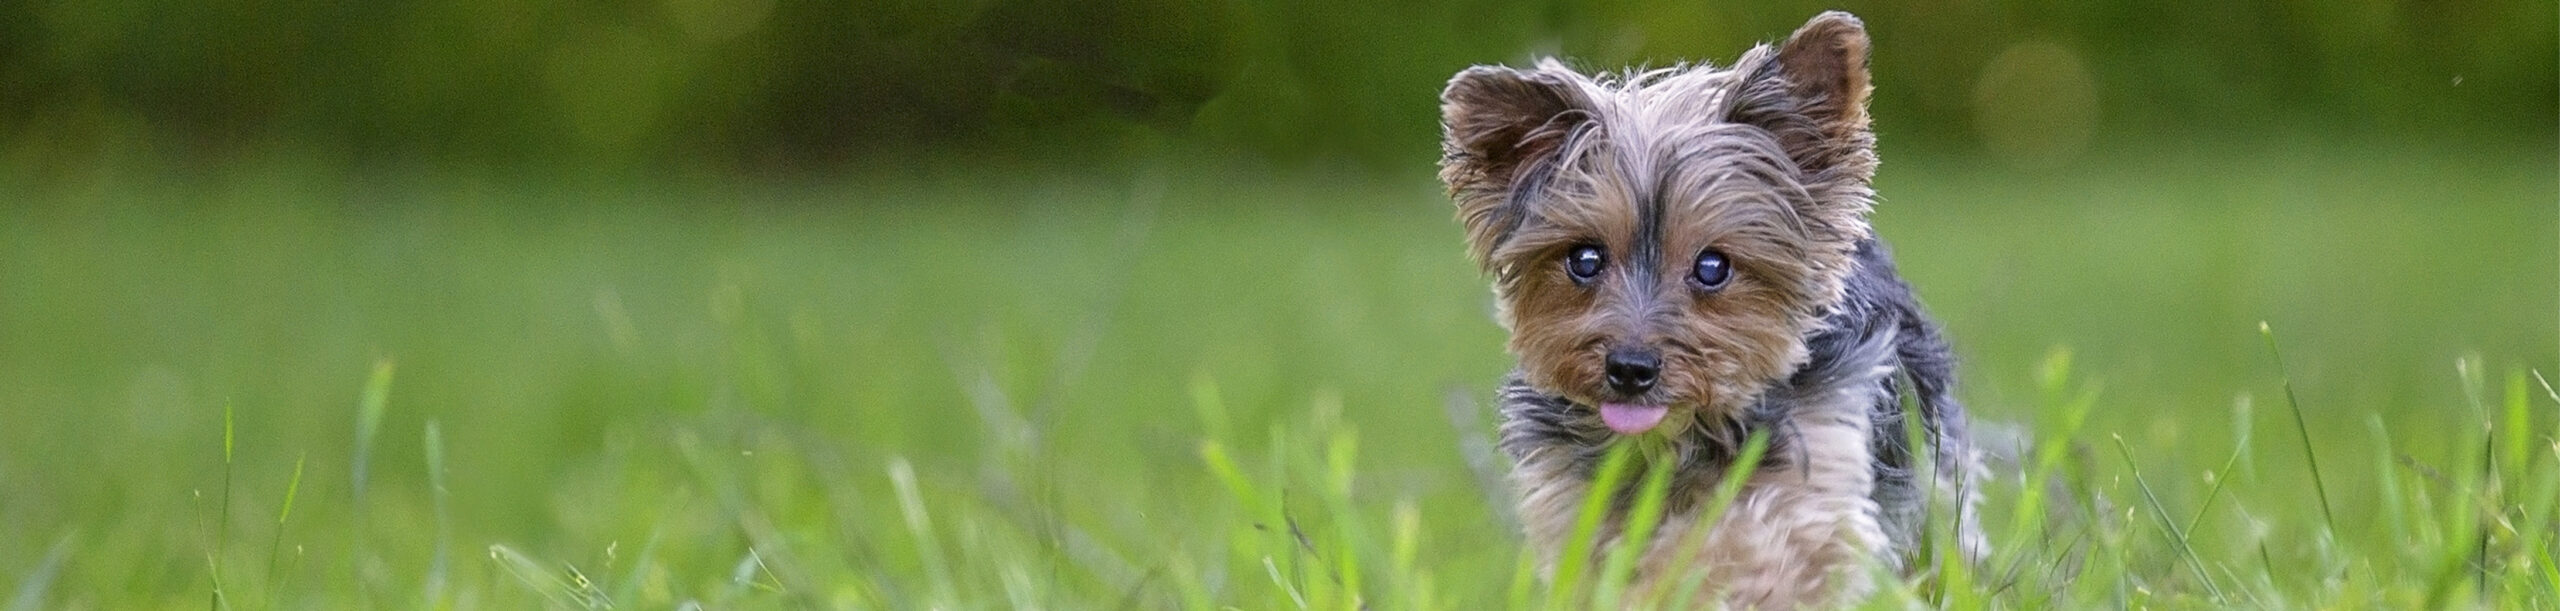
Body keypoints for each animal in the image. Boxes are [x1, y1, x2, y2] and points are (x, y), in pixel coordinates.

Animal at [1443, 11, 1976, 608]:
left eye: (1713, 266)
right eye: (1585, 260)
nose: (1630, 369)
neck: (1680, 436)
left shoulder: (1817, 464)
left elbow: (1760, 546)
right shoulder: (1574, 502)